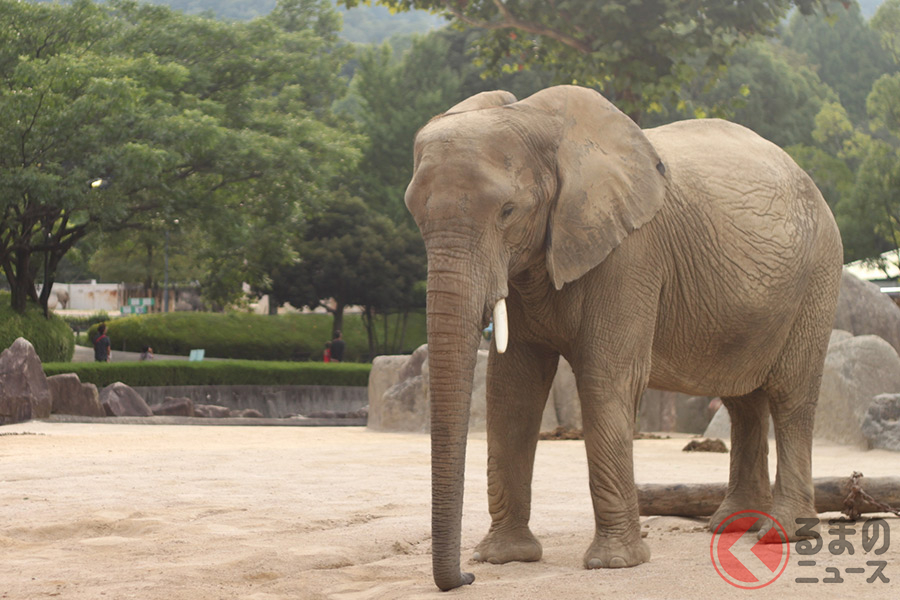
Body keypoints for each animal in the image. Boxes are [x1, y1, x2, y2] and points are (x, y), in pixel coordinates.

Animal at [408, 85, 844, 592]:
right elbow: (512, 391)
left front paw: (614, 563)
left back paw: (781, 535)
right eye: (414, 213)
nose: (466, 576)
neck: (537, 121)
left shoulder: (632, 253)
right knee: (742, 399)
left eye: (507, 212)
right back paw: (730, 526)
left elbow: (606, 378)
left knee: (791, 397)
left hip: (819, 274)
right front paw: (505, 558)